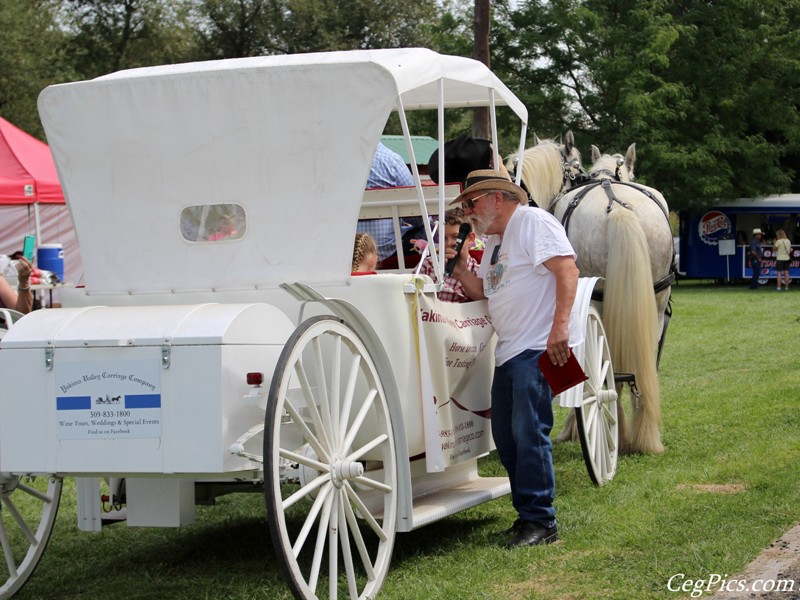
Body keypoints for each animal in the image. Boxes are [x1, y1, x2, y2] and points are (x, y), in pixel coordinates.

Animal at [552, 144, 672, 454]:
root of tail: (617, 206)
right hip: (654, 305)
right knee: (641, 369)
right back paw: (644, 436)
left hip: (597, 302)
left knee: (606, 370)